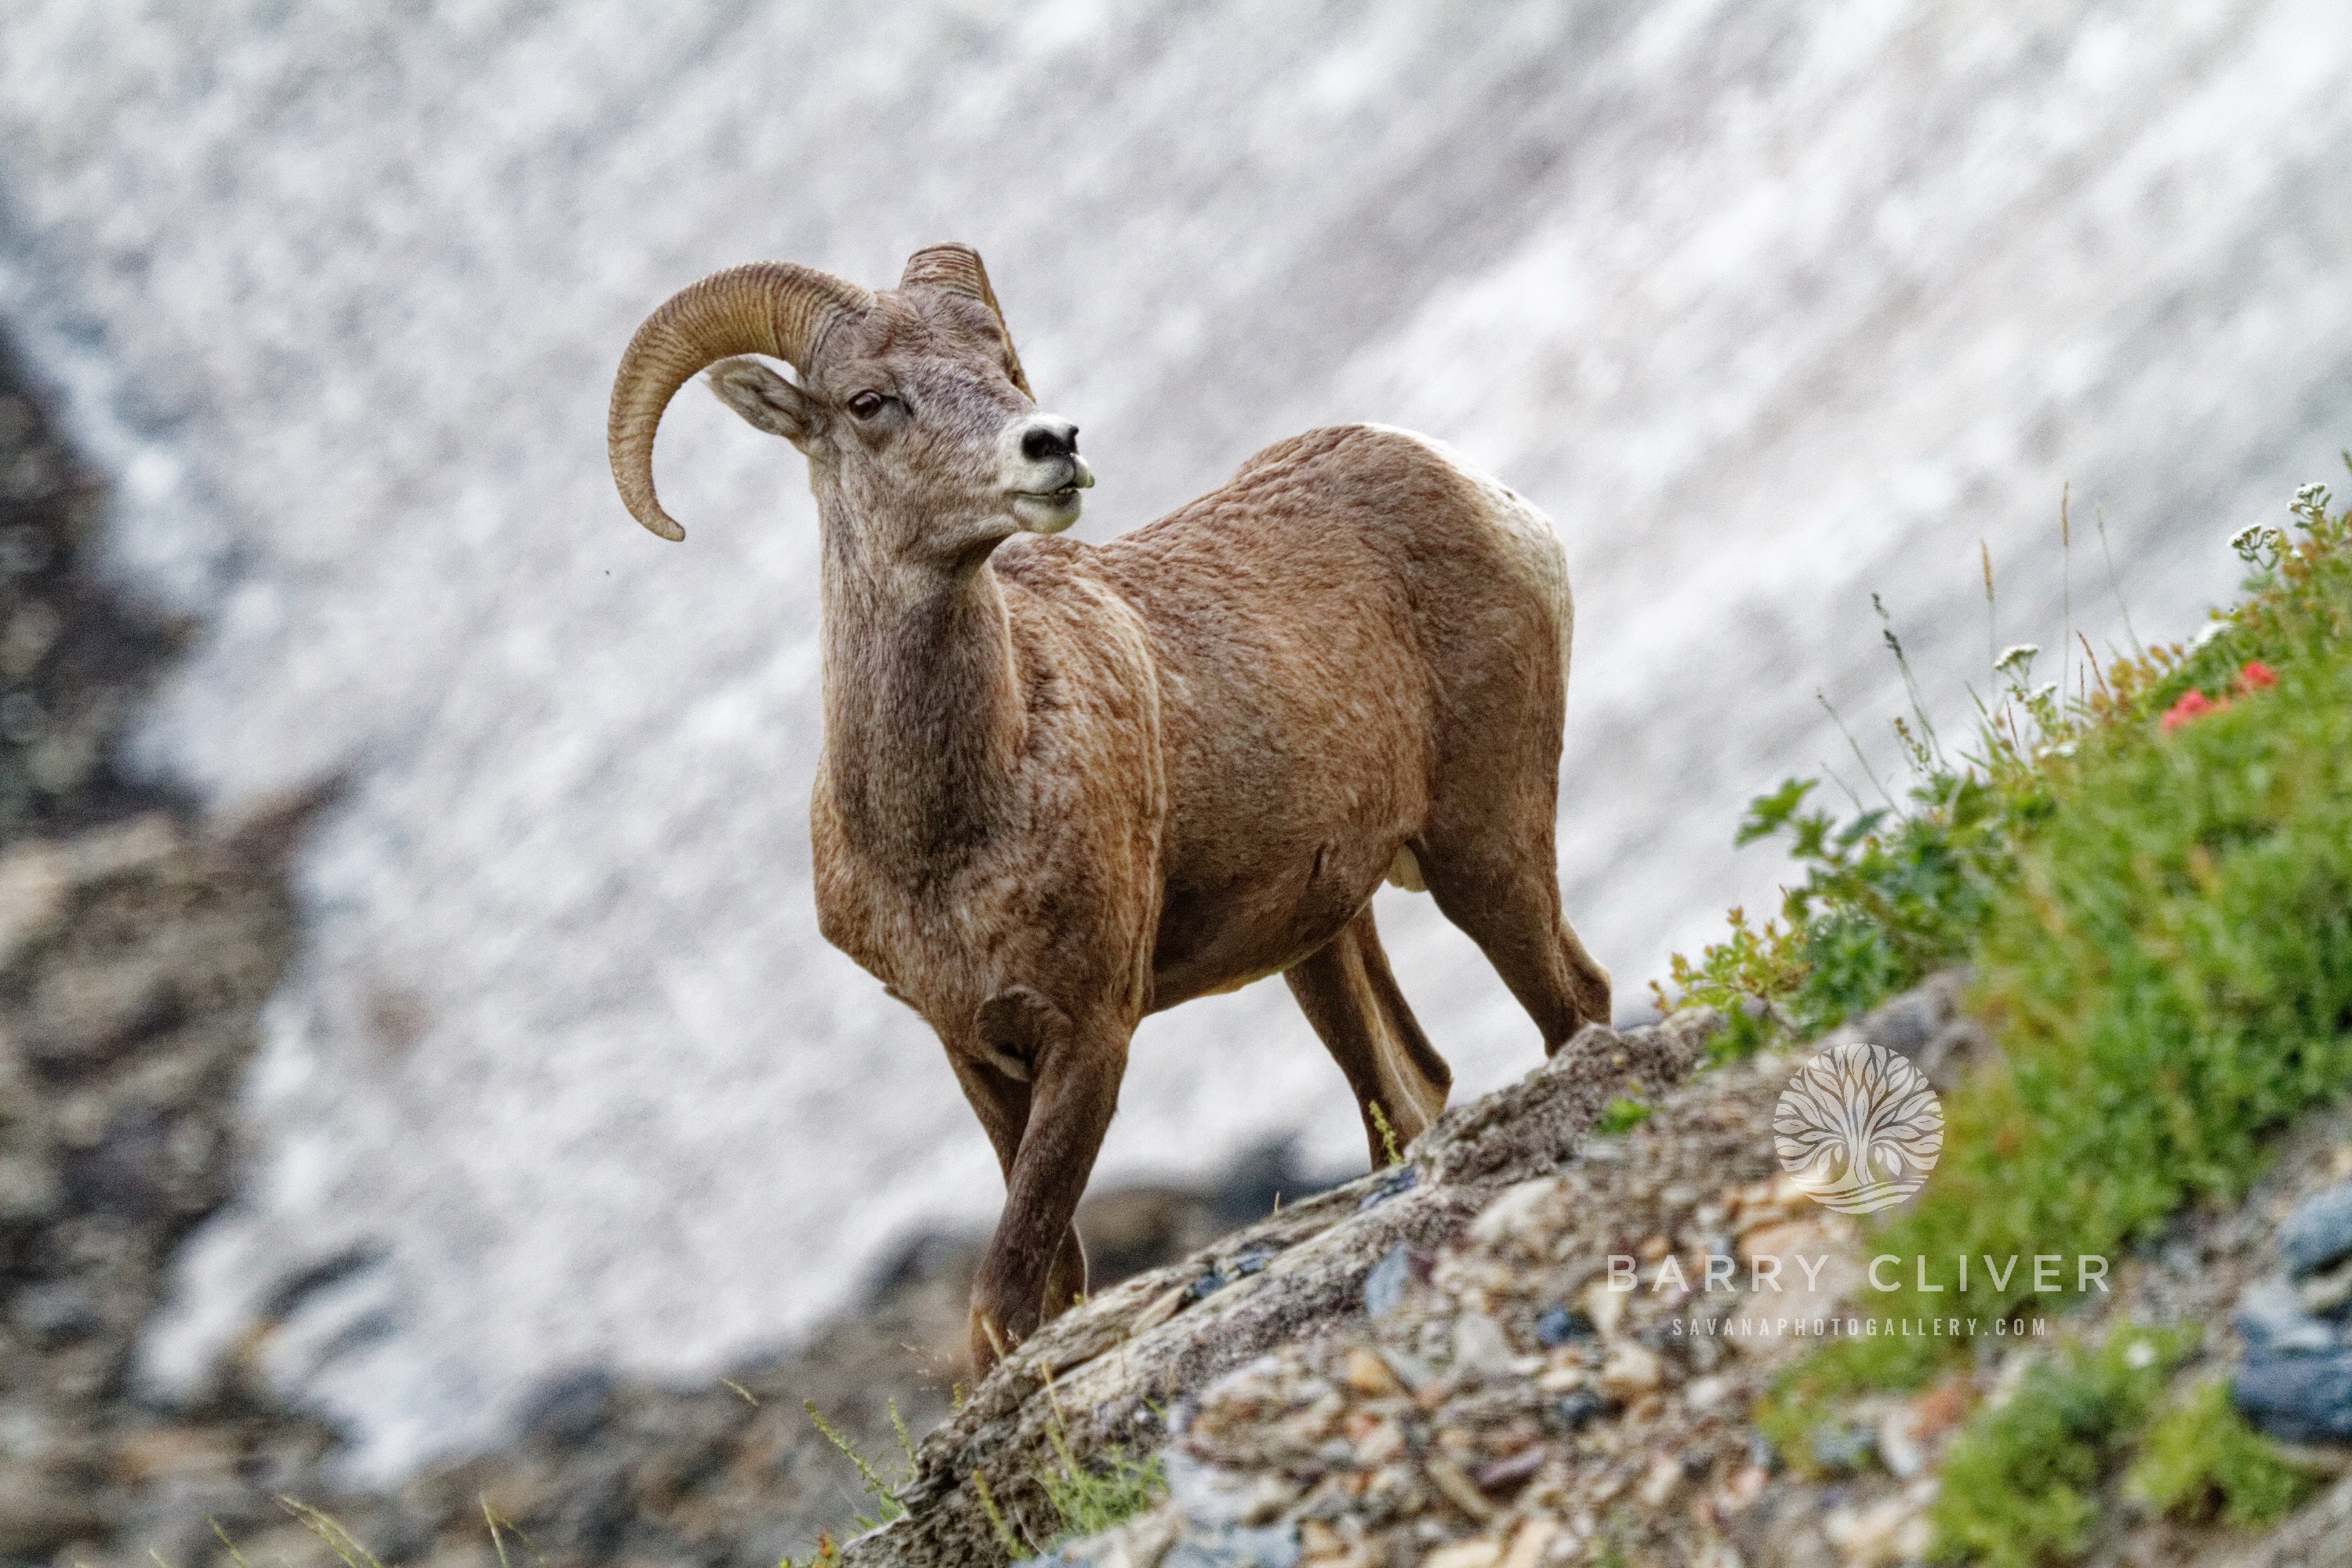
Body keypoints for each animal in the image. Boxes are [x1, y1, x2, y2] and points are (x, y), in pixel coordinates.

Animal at [607, 241, 1609, 1363]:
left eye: (998, 362)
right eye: (868, 400)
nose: (1053, 444)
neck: (947, 836)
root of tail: (1474, 484)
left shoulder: (1090, 1037)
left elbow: (1005, 1297)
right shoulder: (975, 1051)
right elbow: (1052, 1284)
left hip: (1482, 846)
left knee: (1573, 1003)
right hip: (1325, 941)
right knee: (1409, 1088)